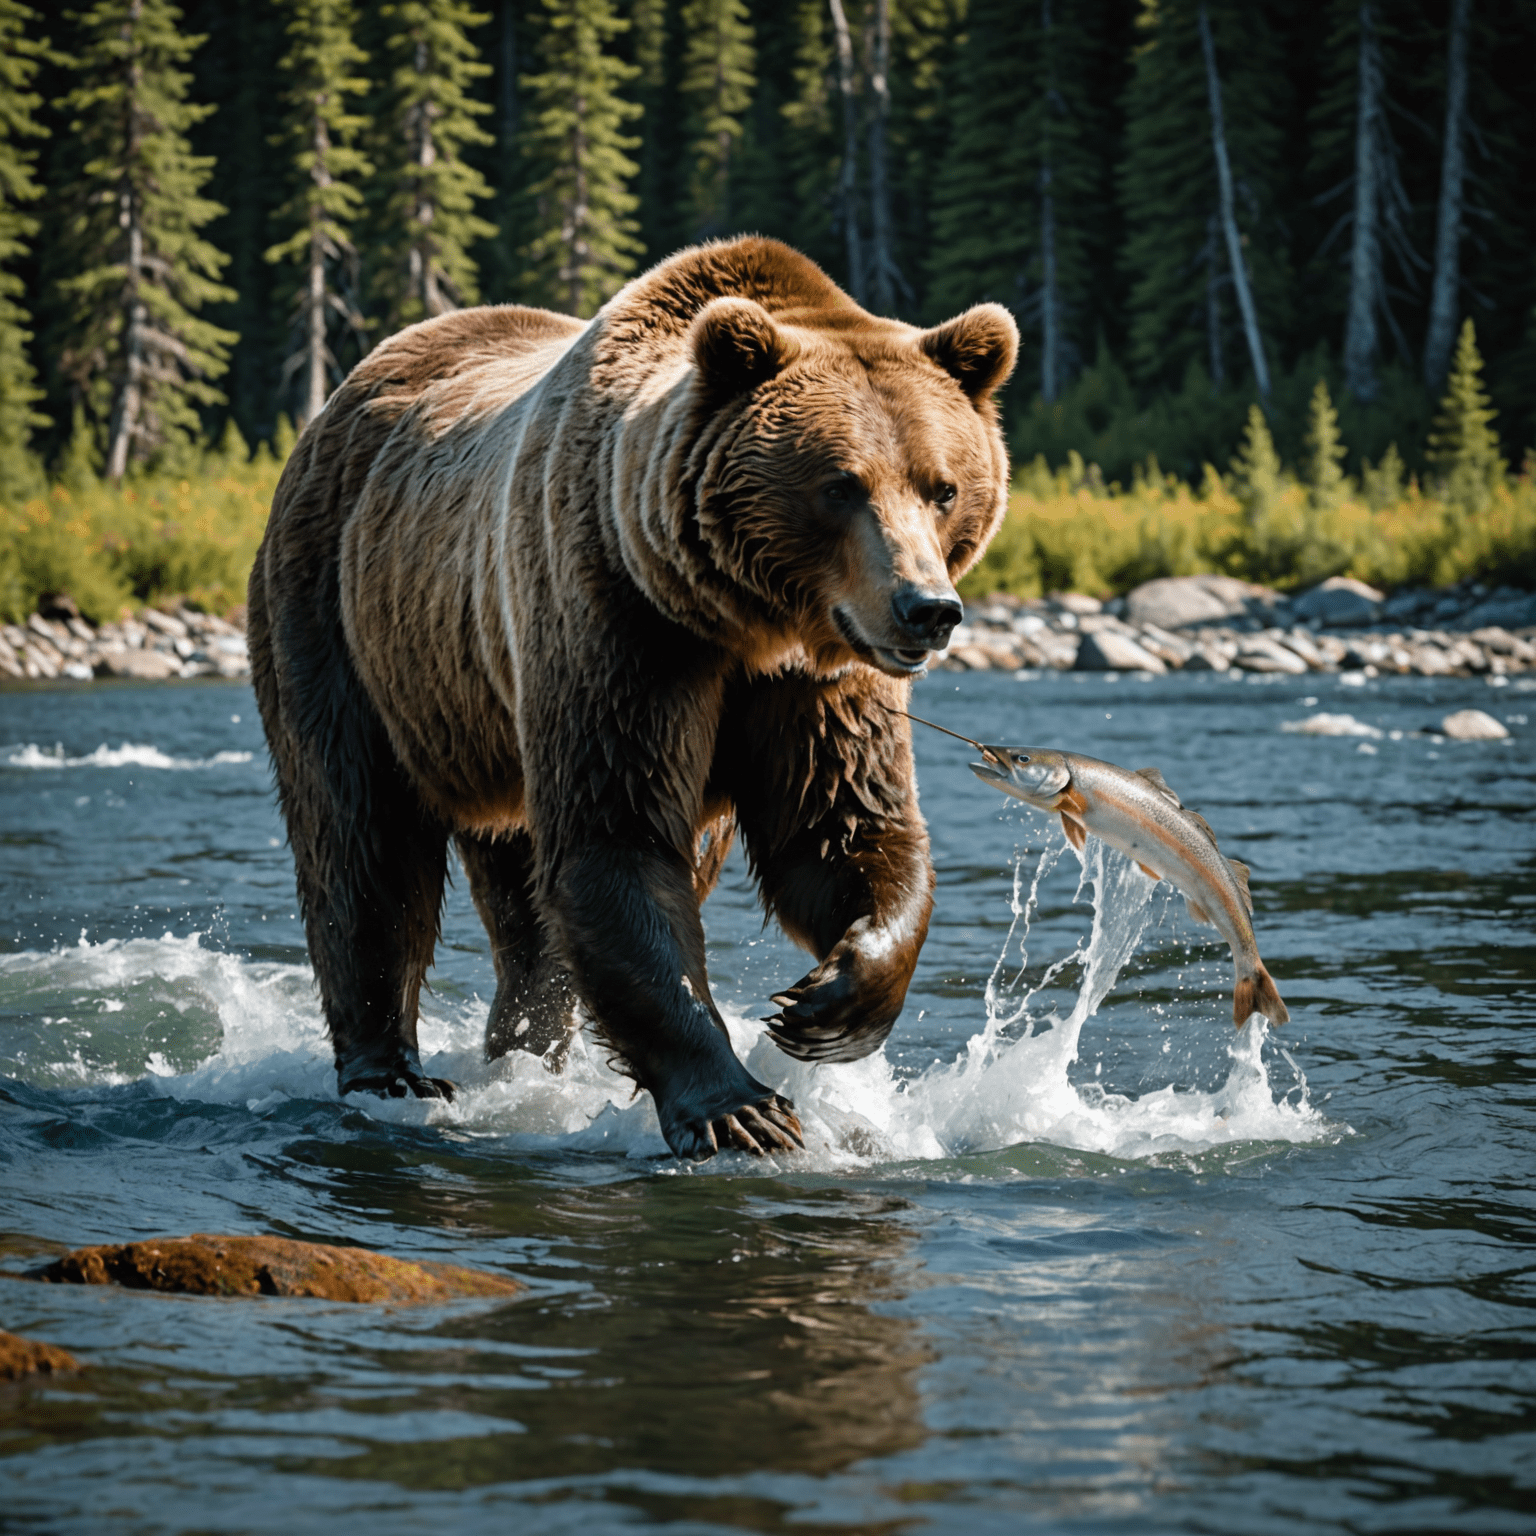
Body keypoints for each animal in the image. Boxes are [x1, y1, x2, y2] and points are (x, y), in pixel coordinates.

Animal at [248, 233, 1019, 1155]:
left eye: (942, 487)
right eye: (841, 484)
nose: (926, 608)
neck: (746, 623)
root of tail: (344, 394)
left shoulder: (814, 684)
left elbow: (840, 826)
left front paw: (830, 1003)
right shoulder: (621, 624)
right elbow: (616, 842)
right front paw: (742, 1108)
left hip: (481, 707)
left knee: (524, 898)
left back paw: (523, 1048)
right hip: (346, 621)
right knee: (363, 838)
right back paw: (391, 1072)